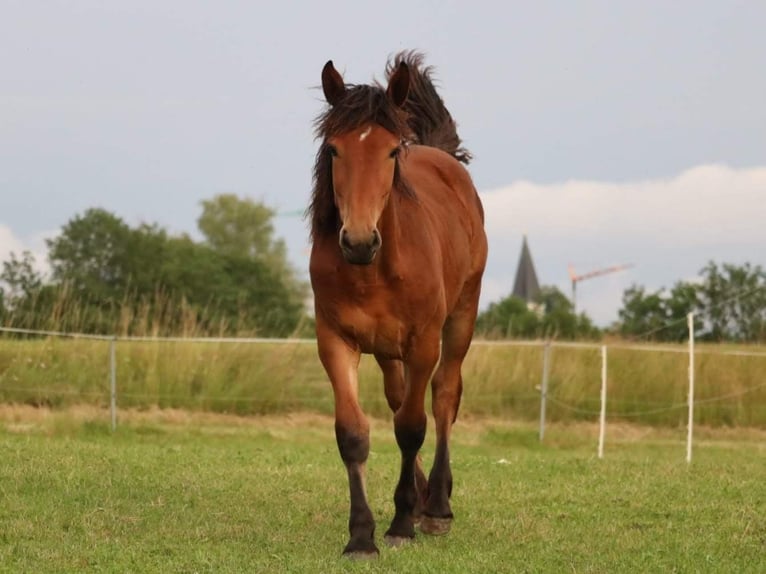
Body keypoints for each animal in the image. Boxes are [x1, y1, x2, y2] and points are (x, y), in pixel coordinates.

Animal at [308, 51, 488, 560]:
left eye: (391, 152)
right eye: (334, 150)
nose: (358, 240)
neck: (374, 270)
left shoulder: (423, 341)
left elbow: (412, 426)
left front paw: (403, 522)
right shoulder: (335, 341)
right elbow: (353, 433)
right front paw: (361, 535)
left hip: (460, 317)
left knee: (443, 396)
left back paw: (437, 506)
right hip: (388, 351)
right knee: (398, 395)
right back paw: (426, 496)